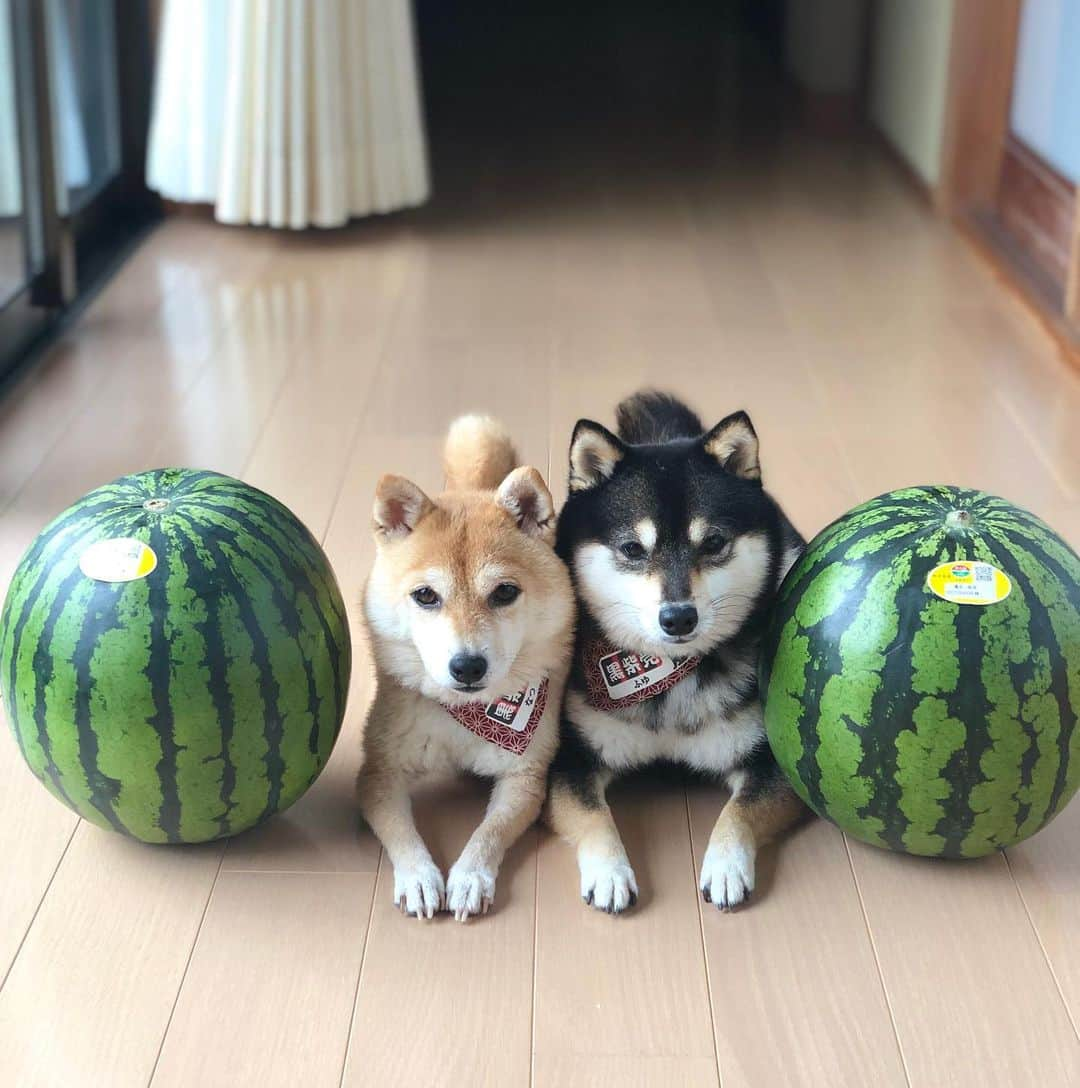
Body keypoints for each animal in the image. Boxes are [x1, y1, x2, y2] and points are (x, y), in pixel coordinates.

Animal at [358, 413, 574, 918]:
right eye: (425, 596)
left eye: (504, 592)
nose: (468, 666)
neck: (463, 715)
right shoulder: (378, 772)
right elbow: (401, 832)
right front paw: (419, 877)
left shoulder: (524, 777)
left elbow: (488, 833)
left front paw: (471, 876)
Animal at [548, 391, 809, 909]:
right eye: (632, 548)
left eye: (714, 542)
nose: (678, 617)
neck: (666, 673)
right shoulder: (571, 758)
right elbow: (592, 816)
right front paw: (610, 871)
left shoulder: (773, 763)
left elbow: (739, 811)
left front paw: (725, 864)